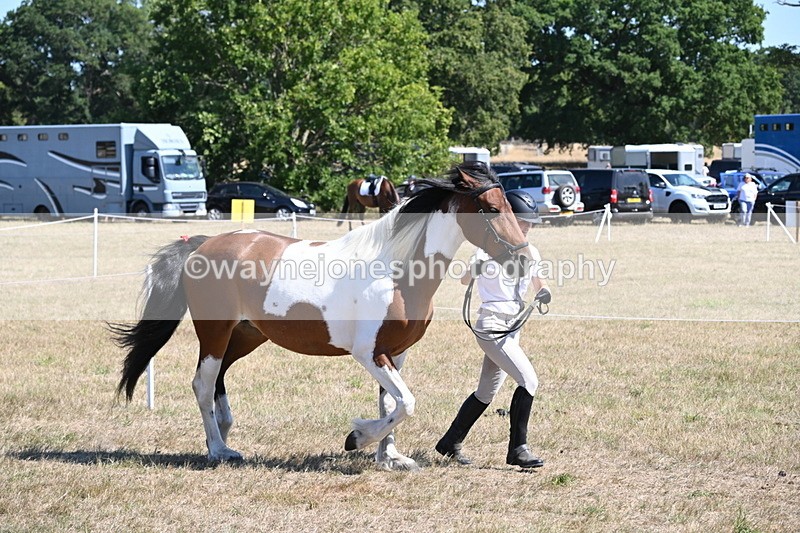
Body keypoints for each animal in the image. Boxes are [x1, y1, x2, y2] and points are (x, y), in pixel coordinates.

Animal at [110, 161, 532, 471]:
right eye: (492, 209)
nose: (523, 259)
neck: (395, 272)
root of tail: (202, 244)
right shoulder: (370, 354)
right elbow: (406, 403)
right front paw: (357, 438)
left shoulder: (396, 353)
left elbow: (392, 404)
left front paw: (389, 457)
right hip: (216, 332)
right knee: (202, 383)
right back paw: (218, 450)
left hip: (245, 335)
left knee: (217, 381)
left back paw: (226, 438)